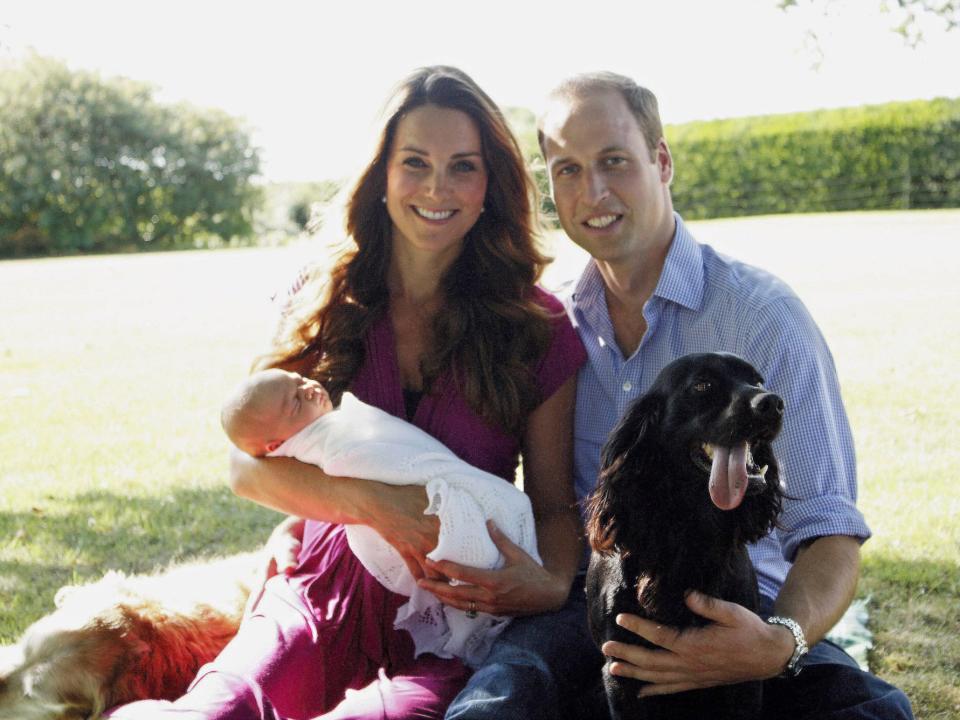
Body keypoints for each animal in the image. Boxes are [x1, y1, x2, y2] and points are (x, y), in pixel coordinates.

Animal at [584, 352, 780, 716]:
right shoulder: (619, 670)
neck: (689, 528)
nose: (772, 402)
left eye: (758, 381)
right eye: (702, 385)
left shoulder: (744, 667)